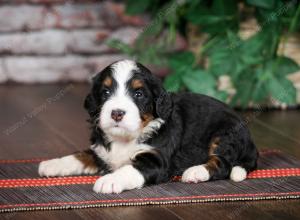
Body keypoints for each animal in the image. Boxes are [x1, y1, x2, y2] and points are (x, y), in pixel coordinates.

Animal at [38, 59, 258, 193]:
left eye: (139, 94)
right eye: (106, 92)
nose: (116, 113)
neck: (126, 138)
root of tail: (250, 141)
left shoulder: (156, 160)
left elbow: (130, 169)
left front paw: (110, 181)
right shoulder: (101, 151)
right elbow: (79, 155)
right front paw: (52, 164)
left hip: (225, 134)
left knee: (223, 164)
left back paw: (195, 172)